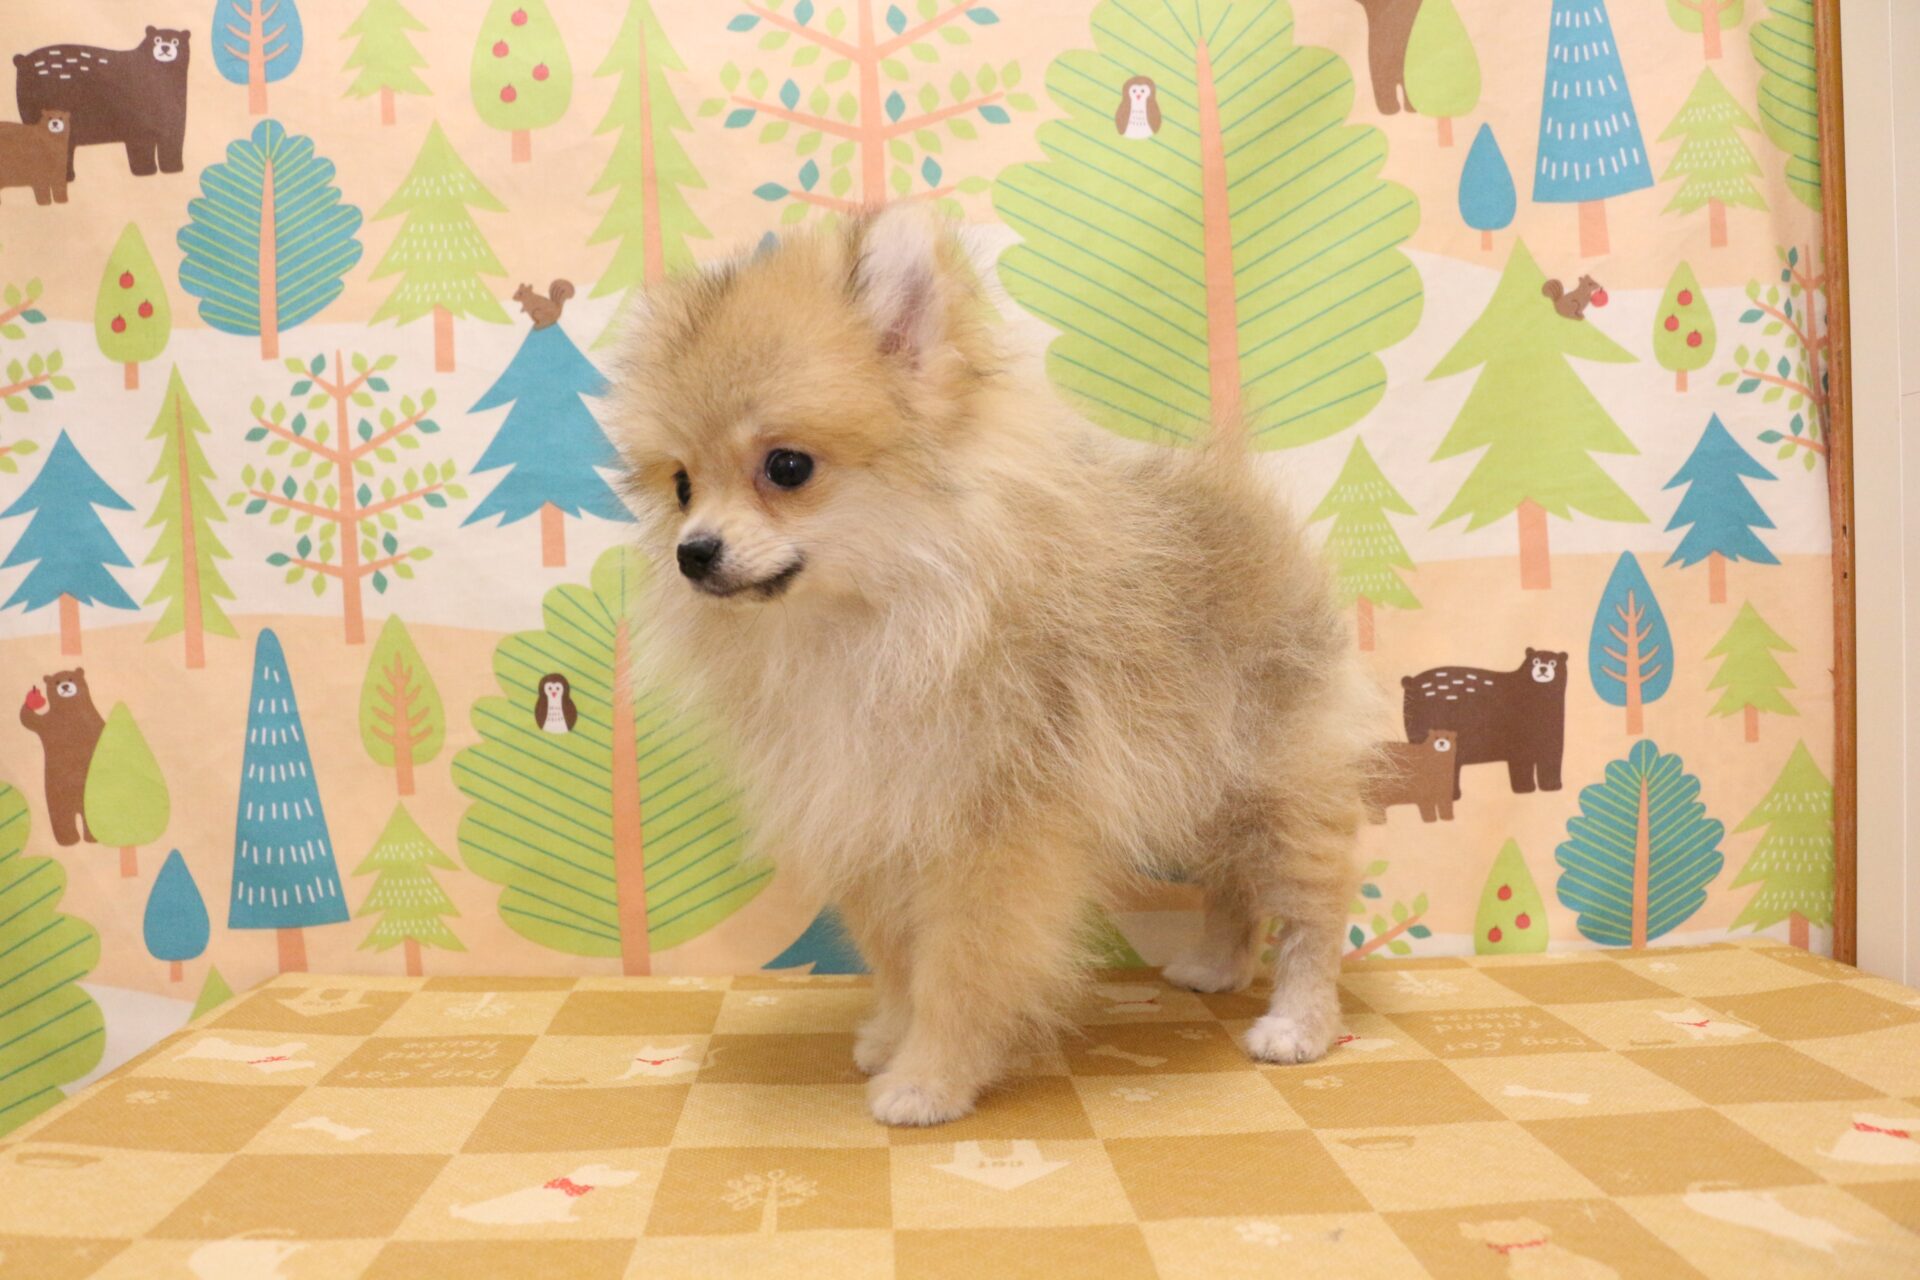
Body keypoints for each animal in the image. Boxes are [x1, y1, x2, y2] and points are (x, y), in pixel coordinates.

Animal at [14, 27, 190, 182]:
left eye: (176, 41)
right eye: (156, 39)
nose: (165, 46)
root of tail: (22, 60)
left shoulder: (175, 123)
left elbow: (172, 145)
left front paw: (174, 169)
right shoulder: (138, 125)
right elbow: (141, 148)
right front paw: (146, 171)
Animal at [18, 668, 104, 847]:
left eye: (71, 678)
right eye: (57, 681)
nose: (65, 686)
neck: (68, 711)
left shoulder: (93, 722)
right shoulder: (46, 724)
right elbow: (29, 719)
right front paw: (31, 699)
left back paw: (90, 838)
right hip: (55, 795)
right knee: (61, 817)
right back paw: (69, 840)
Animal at [613, 205, 1379, 1126]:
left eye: (786, 467)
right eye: (682, 486)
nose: (693, 552)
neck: (866, 621)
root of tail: (1247, 508)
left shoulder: (990, 834)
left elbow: (958, 969)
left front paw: (928, 1080)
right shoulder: (873, 819)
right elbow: (898, 961)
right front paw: (889, 1037)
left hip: (1277, 781)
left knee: (1313, 904)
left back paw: (1298, 1023)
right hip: (1202, 782)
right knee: (1232, 882)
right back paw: (1217, 965)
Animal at [1403, 649, 1567, 801]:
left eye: (1553, 662)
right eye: (1535, 661)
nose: (1543, 668)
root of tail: (1410, 682)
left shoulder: (1553, 739)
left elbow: (1551, 761)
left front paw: (1552, 787)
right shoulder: (1518, 743)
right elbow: (1522, 765)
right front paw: (1525, 788)